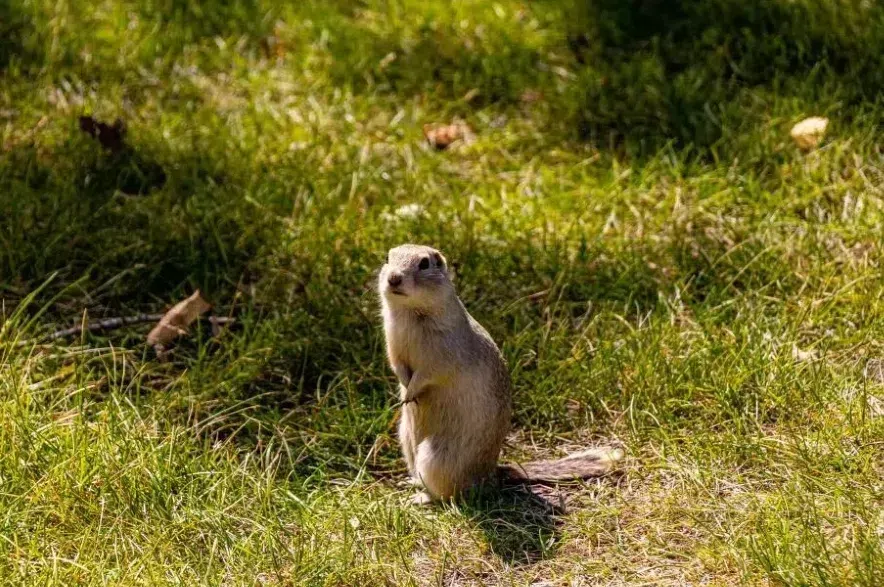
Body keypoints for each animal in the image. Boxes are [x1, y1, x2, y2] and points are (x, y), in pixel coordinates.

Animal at [379, 244, 623, 504]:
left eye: (424, 263)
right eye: (387, 258)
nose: (393, 278)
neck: (410, 312)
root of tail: (491, 475)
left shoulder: (442, 355)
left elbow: (428, 374)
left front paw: (410, 392)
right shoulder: (393, 345)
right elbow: (398, 366)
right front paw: (405, 390)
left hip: (435, 458)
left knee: (447, 493)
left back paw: (422, 497)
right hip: (405, 439)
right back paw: (411, 482)